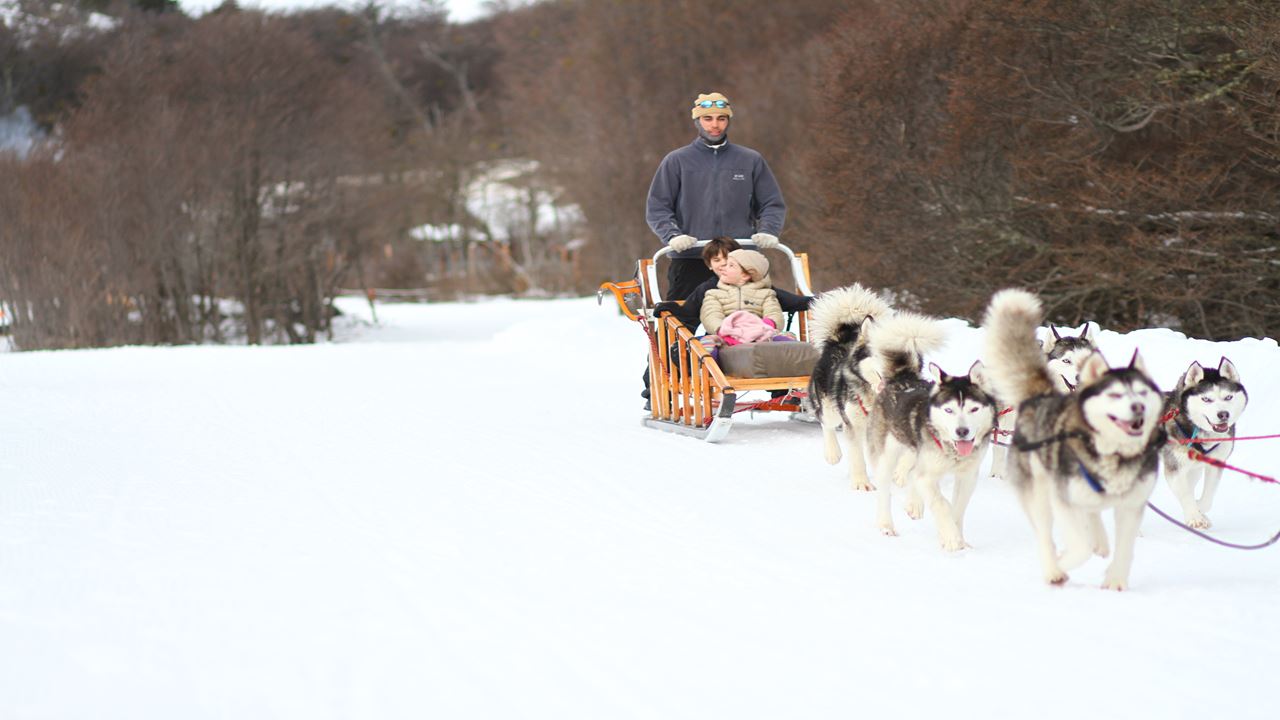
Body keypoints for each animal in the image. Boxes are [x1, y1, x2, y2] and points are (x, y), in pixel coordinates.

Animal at [808, 283, 890, 489]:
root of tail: (840, 339)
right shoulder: (853, 425)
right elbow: (858, 457)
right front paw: (862, 483)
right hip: (831, 407)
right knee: (824, 421)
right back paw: (833, 453)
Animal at [865, 311, 1003, 545]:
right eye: (949, 410)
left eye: (974, 409)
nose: (962, 431)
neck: (952, 452)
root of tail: (903, 377)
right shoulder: (928, 476)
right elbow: (941, 503)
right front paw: (952, 540)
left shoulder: (967, 477)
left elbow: (957, 509)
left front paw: (956, 536)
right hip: (887, 454)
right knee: (885, 489)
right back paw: (886, 525)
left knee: (912, 473)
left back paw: (914, 504)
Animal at [1162, 353, 1249, 527]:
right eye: (1206, 399)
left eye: (1228, 397)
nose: (1223, 414)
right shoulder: (1174, 468)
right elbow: (1185, 493)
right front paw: (1195, 517)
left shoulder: (1214, 463)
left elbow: (1208, 496)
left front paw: (1199, 510)